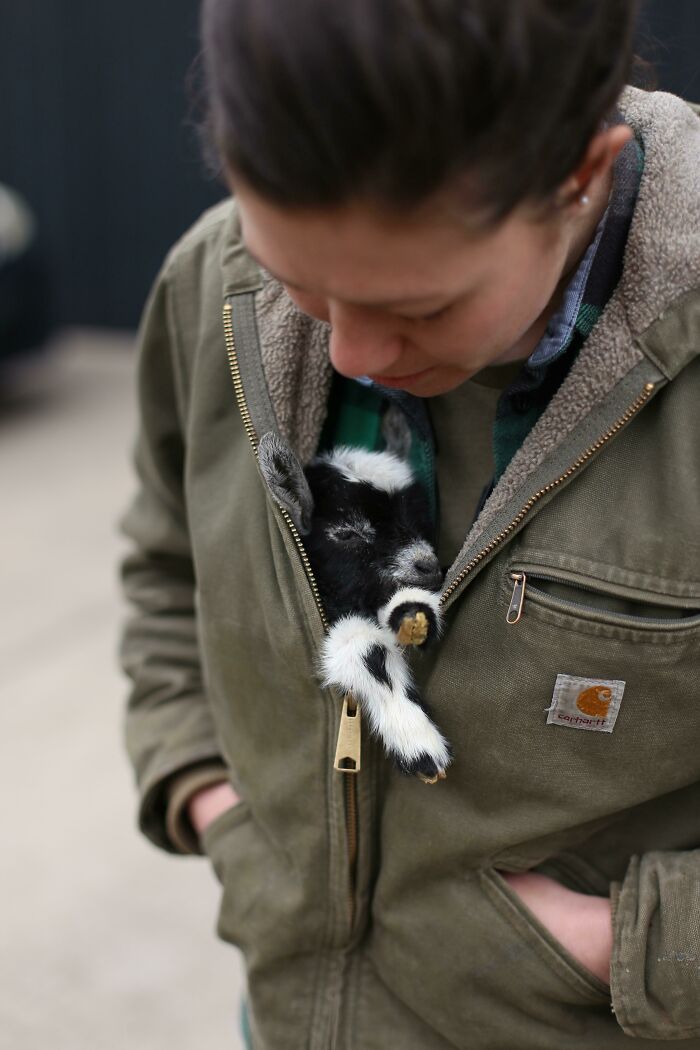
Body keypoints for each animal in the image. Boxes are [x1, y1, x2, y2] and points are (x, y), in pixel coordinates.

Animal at [260, 430, 451, 785]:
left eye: (419, 522)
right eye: (348, 533)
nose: (428, 566)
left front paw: (414, 615)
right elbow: (365, 650)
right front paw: (418, 744)